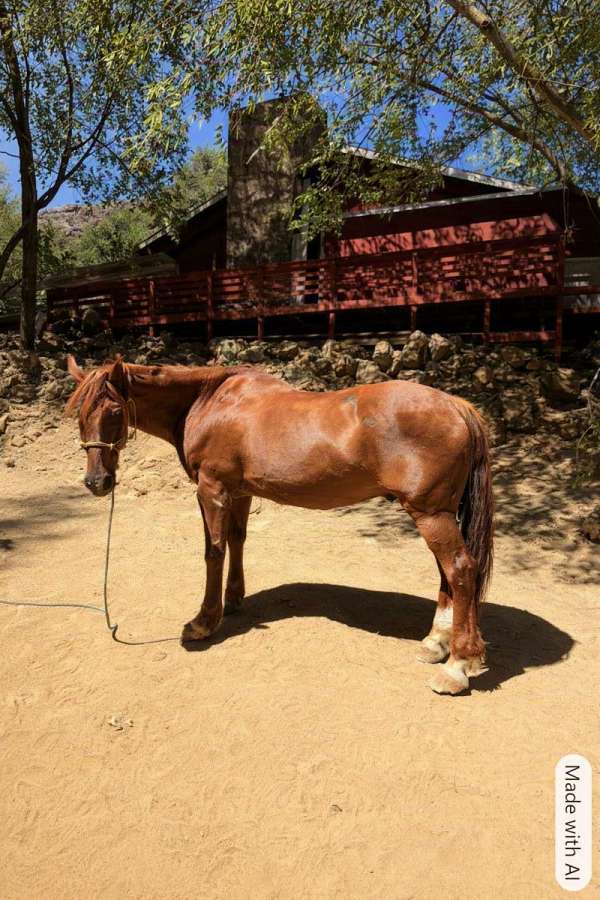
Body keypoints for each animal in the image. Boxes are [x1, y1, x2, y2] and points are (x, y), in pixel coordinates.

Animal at [66, 353, 494, 695]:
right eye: (78, 414)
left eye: (115, 412)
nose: (96, 482)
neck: (209, 402)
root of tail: (458, 407)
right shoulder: (239, 492)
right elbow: (237, 540)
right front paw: (233, 600)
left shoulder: (211, 490)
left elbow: (213, 551)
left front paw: (203, 622)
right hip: (436, 514)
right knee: (448, 574)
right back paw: (437, 643)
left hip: (431, 514)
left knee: (460, 570)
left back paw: (456, 667)